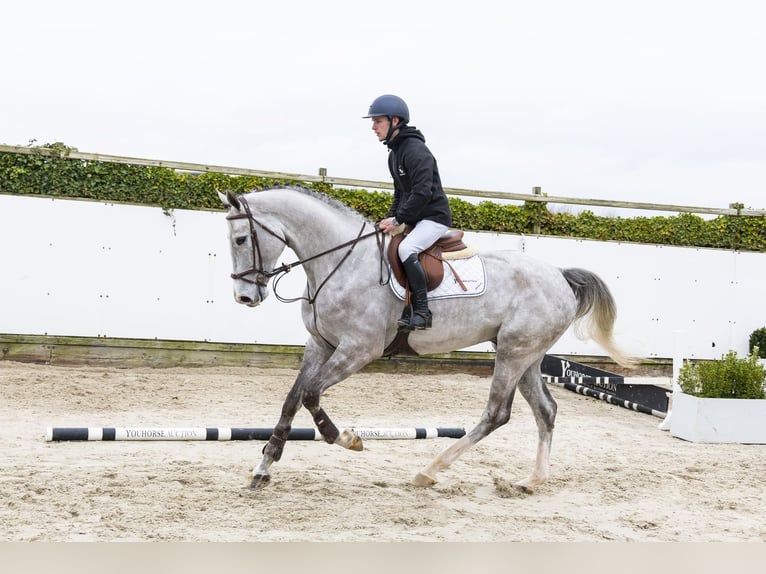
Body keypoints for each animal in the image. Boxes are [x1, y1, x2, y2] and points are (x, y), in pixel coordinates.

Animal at [219, 185, 636, 493]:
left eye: (239, 239)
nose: (245, 297)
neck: (341, 263)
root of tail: (560, 275)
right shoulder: (320, 344)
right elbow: (292, 399)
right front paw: (263, 467)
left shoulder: (358, 349)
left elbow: (310, 395)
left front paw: (347, 438)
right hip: (526, 355)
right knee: (545, 411)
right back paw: (531, 480)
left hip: (514, 353)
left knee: (496, 414)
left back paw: (430, 470)